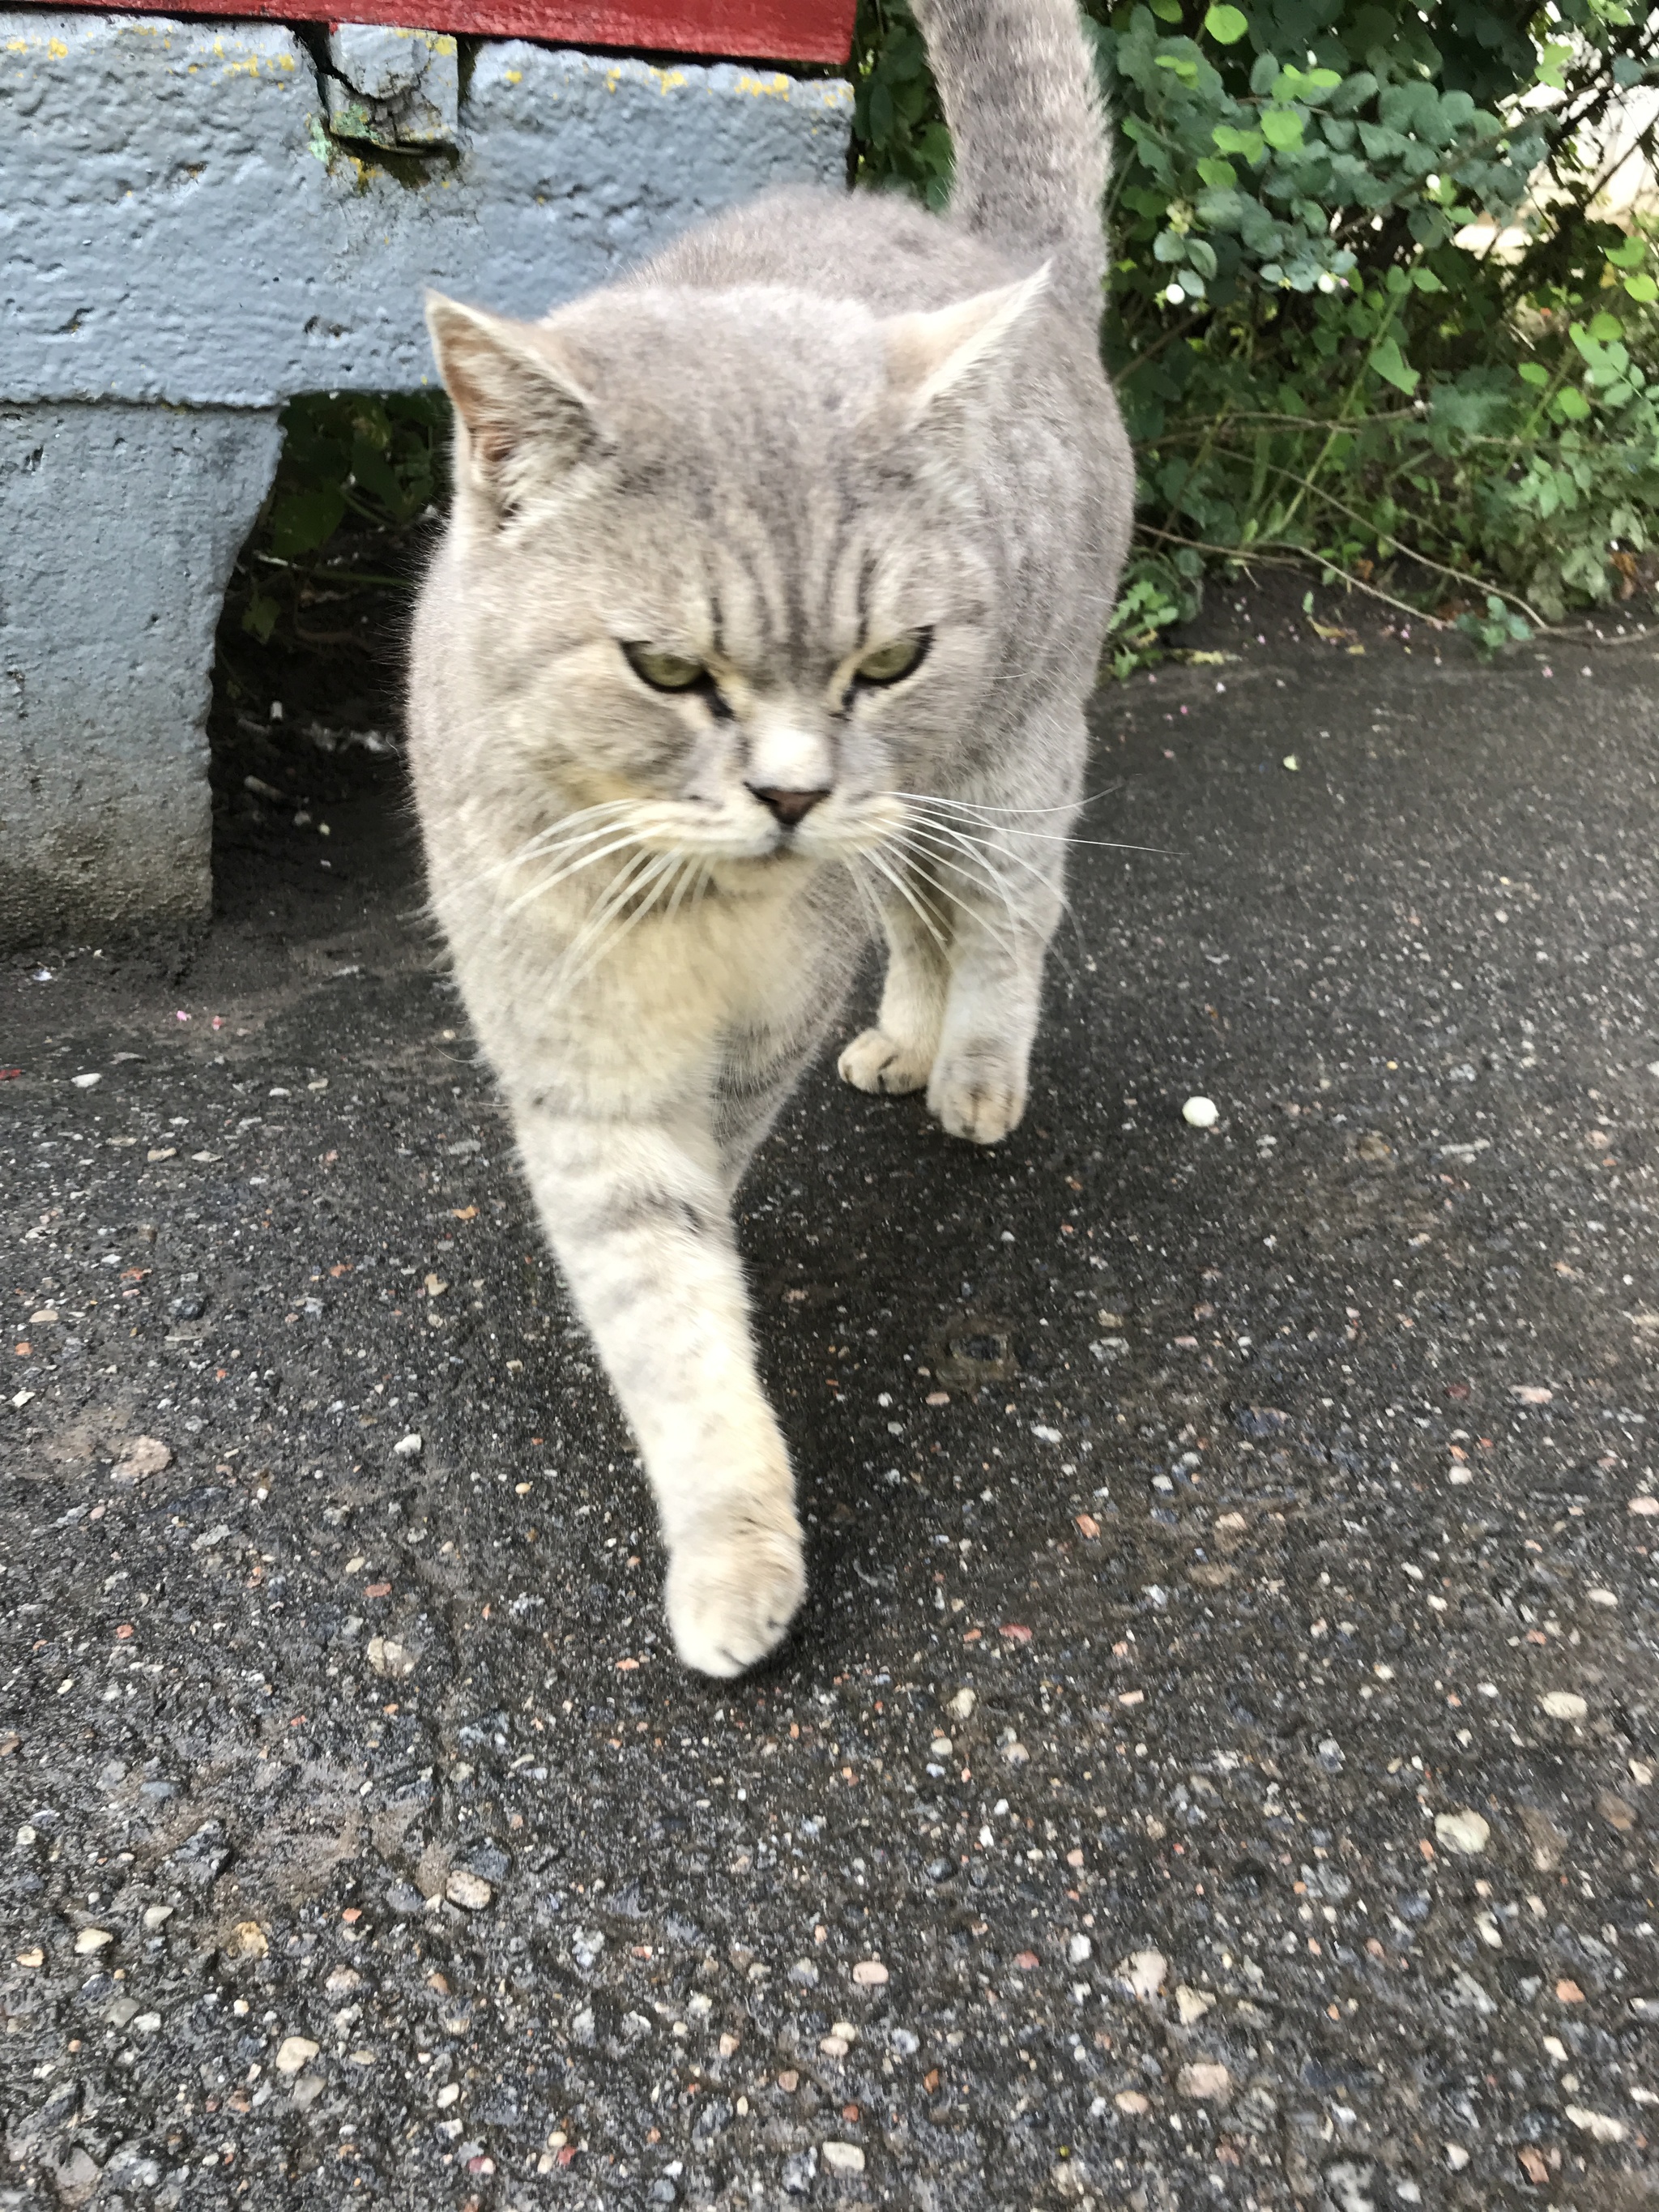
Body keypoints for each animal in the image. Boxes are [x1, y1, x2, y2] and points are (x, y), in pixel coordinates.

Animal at [409, 0, 1141, 1672]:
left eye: (888, 656)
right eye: (667, 671)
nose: (796, 795)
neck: (671, 906)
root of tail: (987, 247)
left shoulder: (768, 1012)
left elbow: (710, 1203)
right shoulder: (575, 1058)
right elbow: (659, 1303)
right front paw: (730, 1533)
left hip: (999, 766)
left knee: (999, 922)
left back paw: (971, 1069)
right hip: (913, 817)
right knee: (922, 925)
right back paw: (904, 1044)